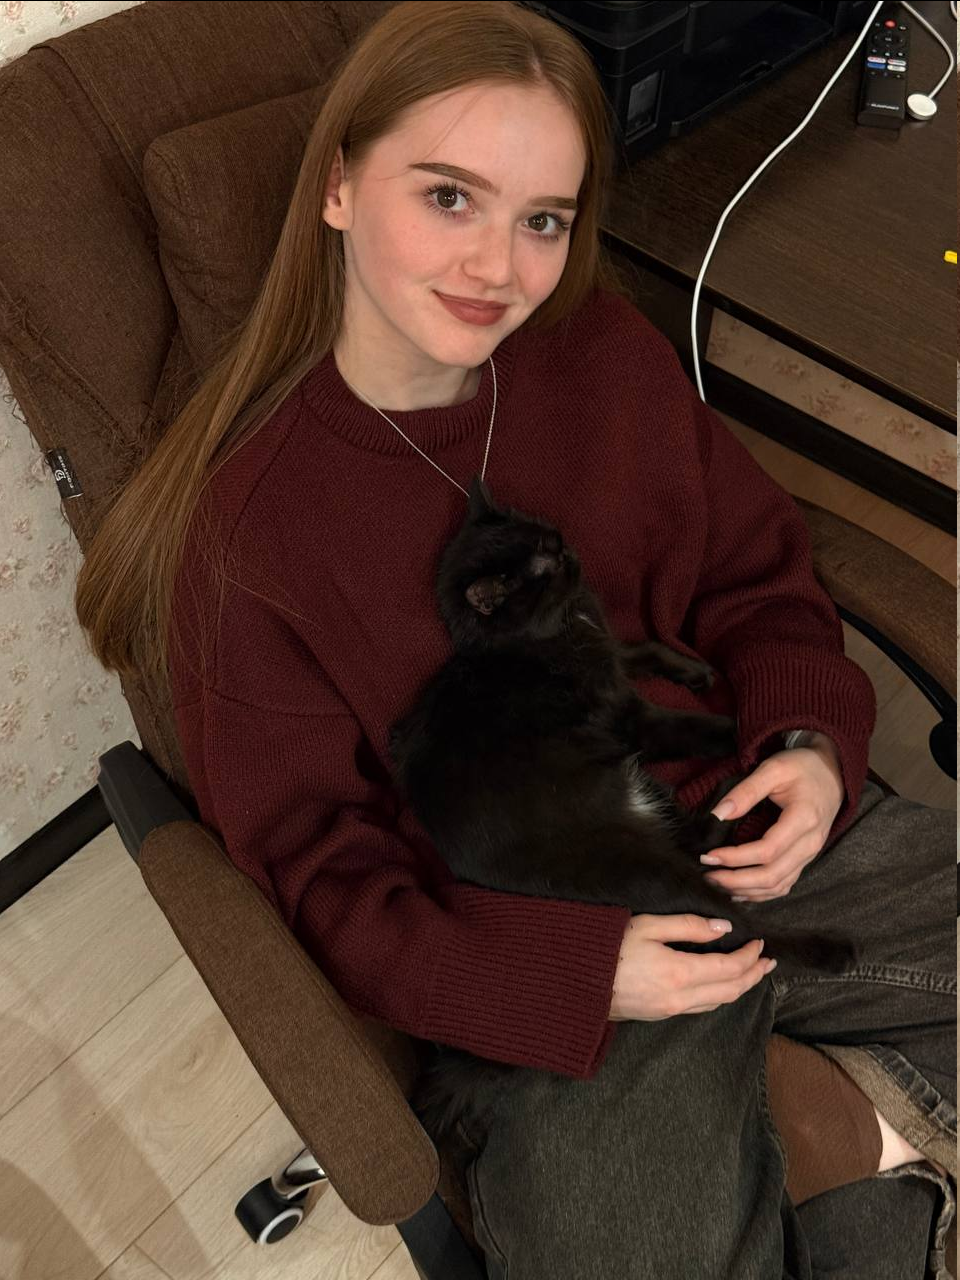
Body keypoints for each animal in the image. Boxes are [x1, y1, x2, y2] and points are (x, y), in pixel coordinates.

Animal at [388, 474, 855, 1142]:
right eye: (541, 568)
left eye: (550, 538)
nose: (571, 554)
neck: (546, 634)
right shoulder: (631, 716)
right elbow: (694, 723)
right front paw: (744, 729)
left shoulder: (613, 652)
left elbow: (645, 647)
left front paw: (695, 670)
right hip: (650, 862)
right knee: (746, 928)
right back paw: (829, 945)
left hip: (649, 806)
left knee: (705, 848)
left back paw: (728, 795)